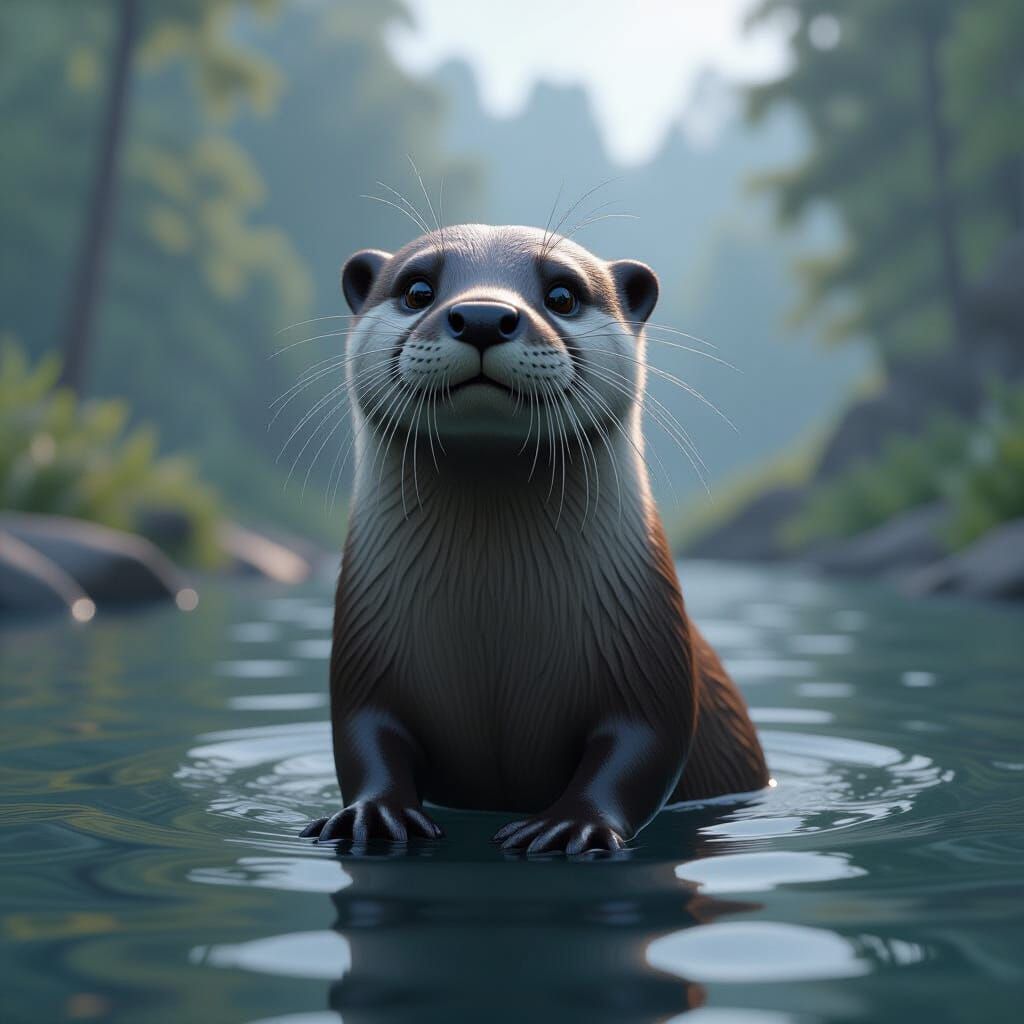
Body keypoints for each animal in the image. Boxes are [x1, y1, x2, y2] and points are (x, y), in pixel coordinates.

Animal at [301, 224, 768, 854]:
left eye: (563, 295)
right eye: (418, 289)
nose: (481, 315)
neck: (495, 616)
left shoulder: (651, 656)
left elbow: (644, 745)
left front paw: (575, 824)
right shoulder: (361, 656)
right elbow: (362, 737)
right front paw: (372, 814)